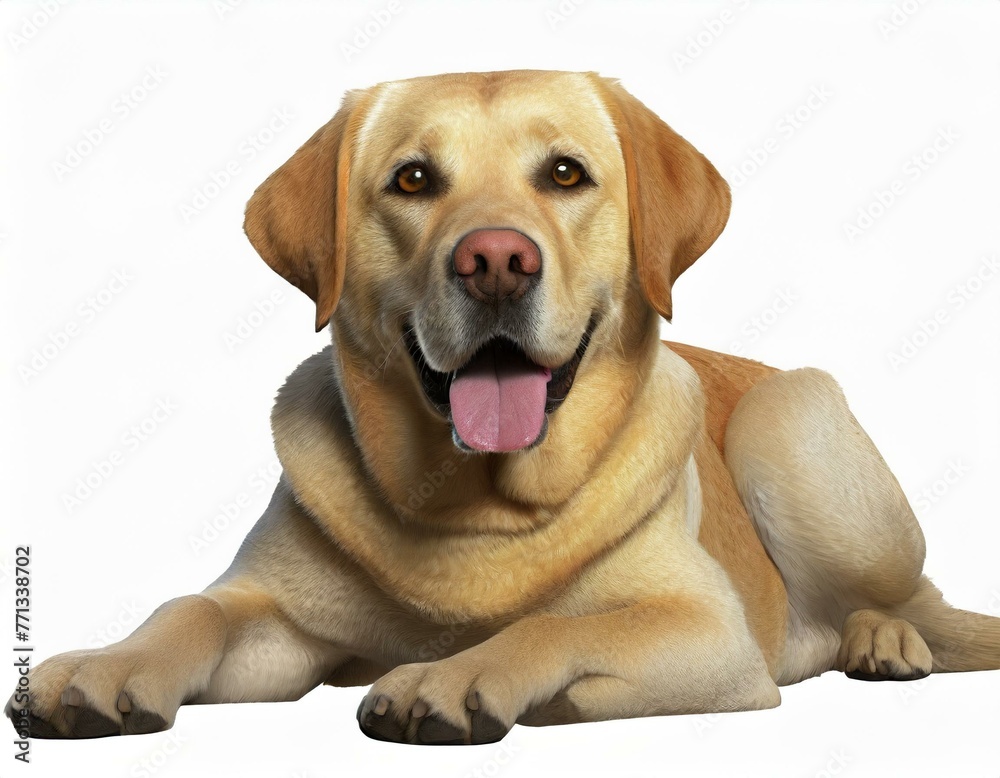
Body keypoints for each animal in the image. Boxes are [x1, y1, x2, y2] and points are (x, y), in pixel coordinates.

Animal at [9, 69, 1000, 744]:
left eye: (564, 173)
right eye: (413, 179)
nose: (494, 261)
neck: (472, 505)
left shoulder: (709, 632)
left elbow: (555, 620)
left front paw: (453, 678)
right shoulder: (279, 628)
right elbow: (196, 608)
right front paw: (110, 663)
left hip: (789, 421)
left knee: (902, 596)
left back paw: (884, 639)